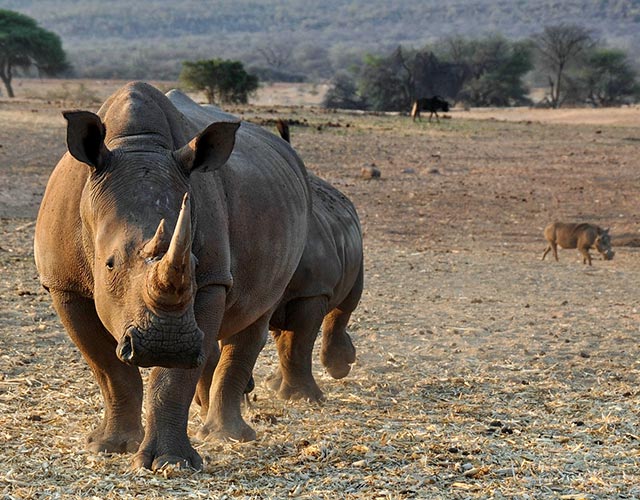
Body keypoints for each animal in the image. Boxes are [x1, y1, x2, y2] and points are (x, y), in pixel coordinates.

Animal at [34, 82, 311, 471]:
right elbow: (109, 369)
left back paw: (228, 435)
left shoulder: (211, 279)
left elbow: (174, 377)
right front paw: (109, 446)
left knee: (254, 317)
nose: (166, 344)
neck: (136, 144)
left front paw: (171, 462)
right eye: (109, 265)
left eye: (192, 265)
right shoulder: (64, 284)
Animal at [195, 119, 363, 407]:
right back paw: (275, 383)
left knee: (346, 302)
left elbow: (298, 343)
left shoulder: (311, 291)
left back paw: (339, 367)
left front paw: (306, 397)